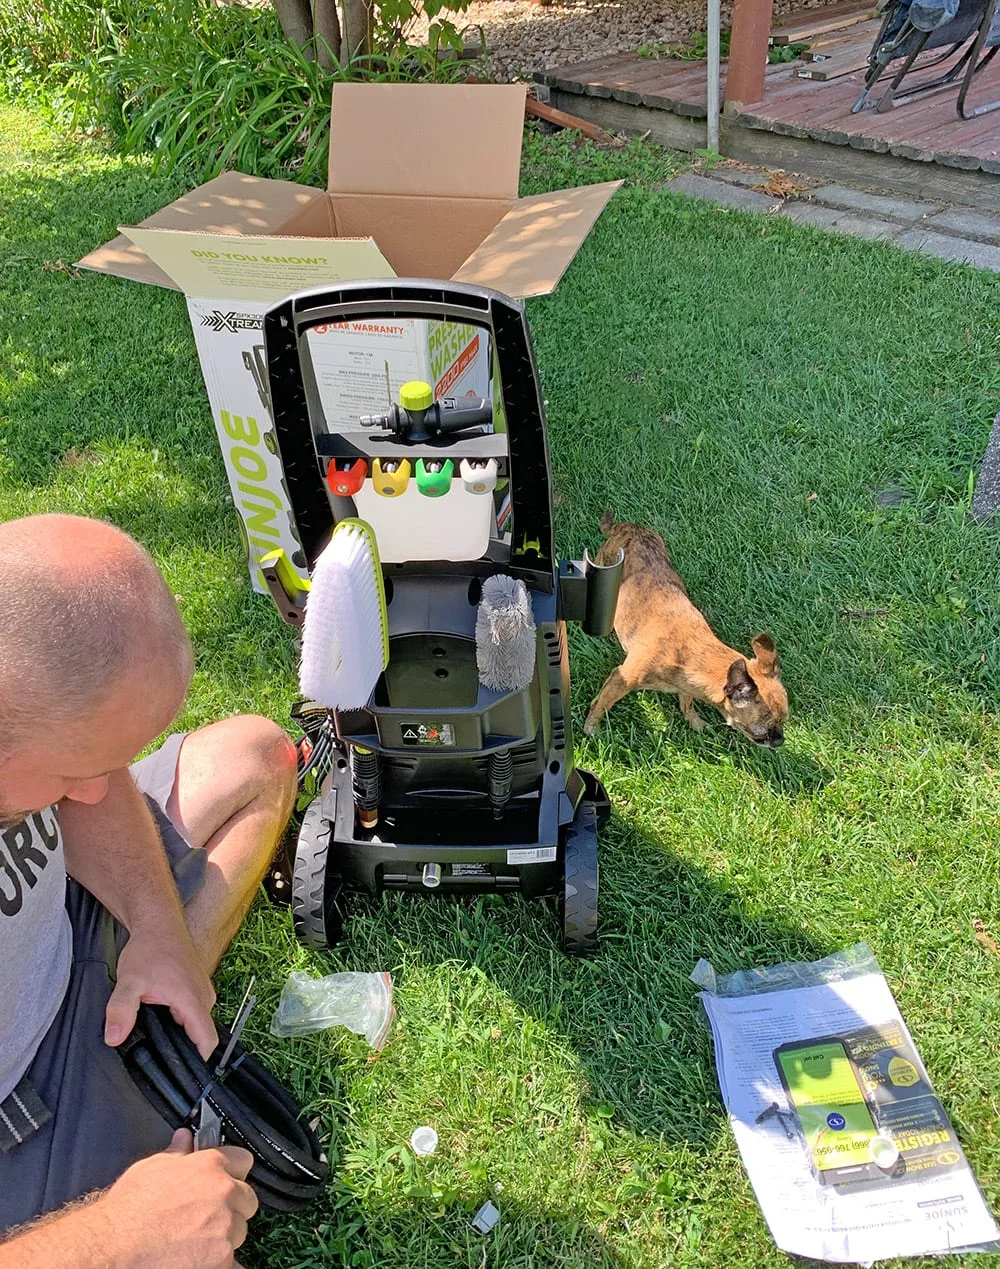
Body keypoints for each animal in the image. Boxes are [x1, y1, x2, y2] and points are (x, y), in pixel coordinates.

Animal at [586, 512, 786, 741]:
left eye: (783, 723)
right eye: (763, 733)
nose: (781, 739)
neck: (688, 655)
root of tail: (627, 527)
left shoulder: (688, 687)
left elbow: (686, 702)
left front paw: (694, 721)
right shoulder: (620, 680)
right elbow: (601, 704)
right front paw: (591, 727)